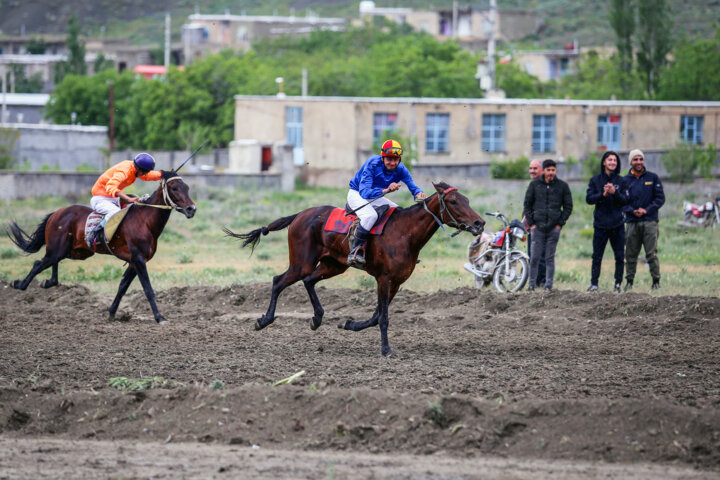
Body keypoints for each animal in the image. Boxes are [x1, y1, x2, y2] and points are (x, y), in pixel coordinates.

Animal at [7, 171, 197, 324]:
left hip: (77, 251)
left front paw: (112, 312)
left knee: (50, 263)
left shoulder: (134, 262)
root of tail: (56, 213)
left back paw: (48, 282)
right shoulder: (139, 259)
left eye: (187, 187)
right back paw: (20, 284)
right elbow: (148, 289)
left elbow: (122, 286)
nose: (191, 209)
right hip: (59, 249)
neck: (145, 221)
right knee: (39, 263)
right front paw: (159, 317)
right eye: (174, 188)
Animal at [225, 182, 484, 354]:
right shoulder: (384, 278)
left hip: (333, 265)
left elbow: (376, 315)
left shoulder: (397, 282)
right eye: (453, 201)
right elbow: (383, 317)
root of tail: (300, 214)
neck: (404, 232)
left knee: (309, 281)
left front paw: (349, 324)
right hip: (302, 262)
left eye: (468, 200)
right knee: (279, 281)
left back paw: (317, 318)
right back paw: (264, 320)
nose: (479, 223)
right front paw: (386, 349)